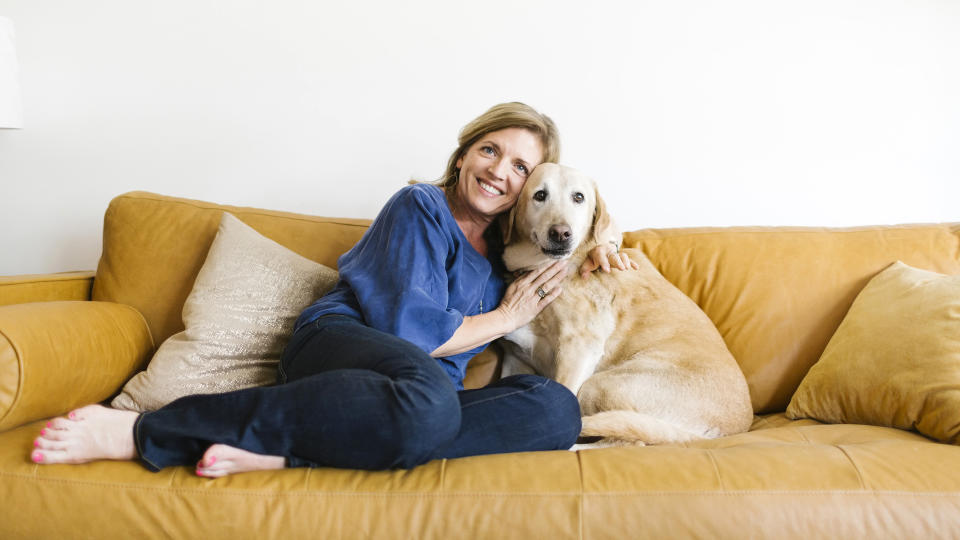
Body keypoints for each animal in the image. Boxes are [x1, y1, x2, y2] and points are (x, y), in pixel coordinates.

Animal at [498, 165, 752, 448]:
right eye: (540, 195)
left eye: (578, 197)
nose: (561, 233)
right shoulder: (514, 359)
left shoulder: (579, 348)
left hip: (600, 385)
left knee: (623, 439)